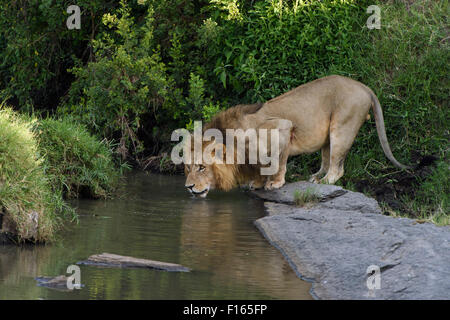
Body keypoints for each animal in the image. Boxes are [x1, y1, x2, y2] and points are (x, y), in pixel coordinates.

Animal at [185, 76, 410, 199]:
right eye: (187, 168)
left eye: (202, 167)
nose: (188, 187)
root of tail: (364, 87)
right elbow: (261, 167)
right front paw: (257, 183)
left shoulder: (283, 128)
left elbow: (278, 162)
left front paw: (275, 183)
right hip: (328, 137)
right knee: (326, 160)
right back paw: (316, 176)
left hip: (342, 127)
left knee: (337, 168)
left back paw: (325, 181)